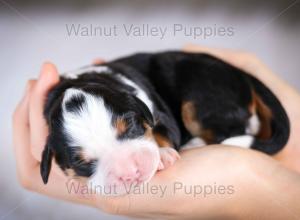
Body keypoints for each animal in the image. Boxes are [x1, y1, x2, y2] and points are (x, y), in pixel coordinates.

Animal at [41, 51, 290, 194]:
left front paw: (162, 155)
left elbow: (162, 132)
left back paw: (194, 144)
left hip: (199, 98)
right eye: (82, 164)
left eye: (132, 128)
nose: (130, 173)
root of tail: (243, 75)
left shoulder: (159, 113)